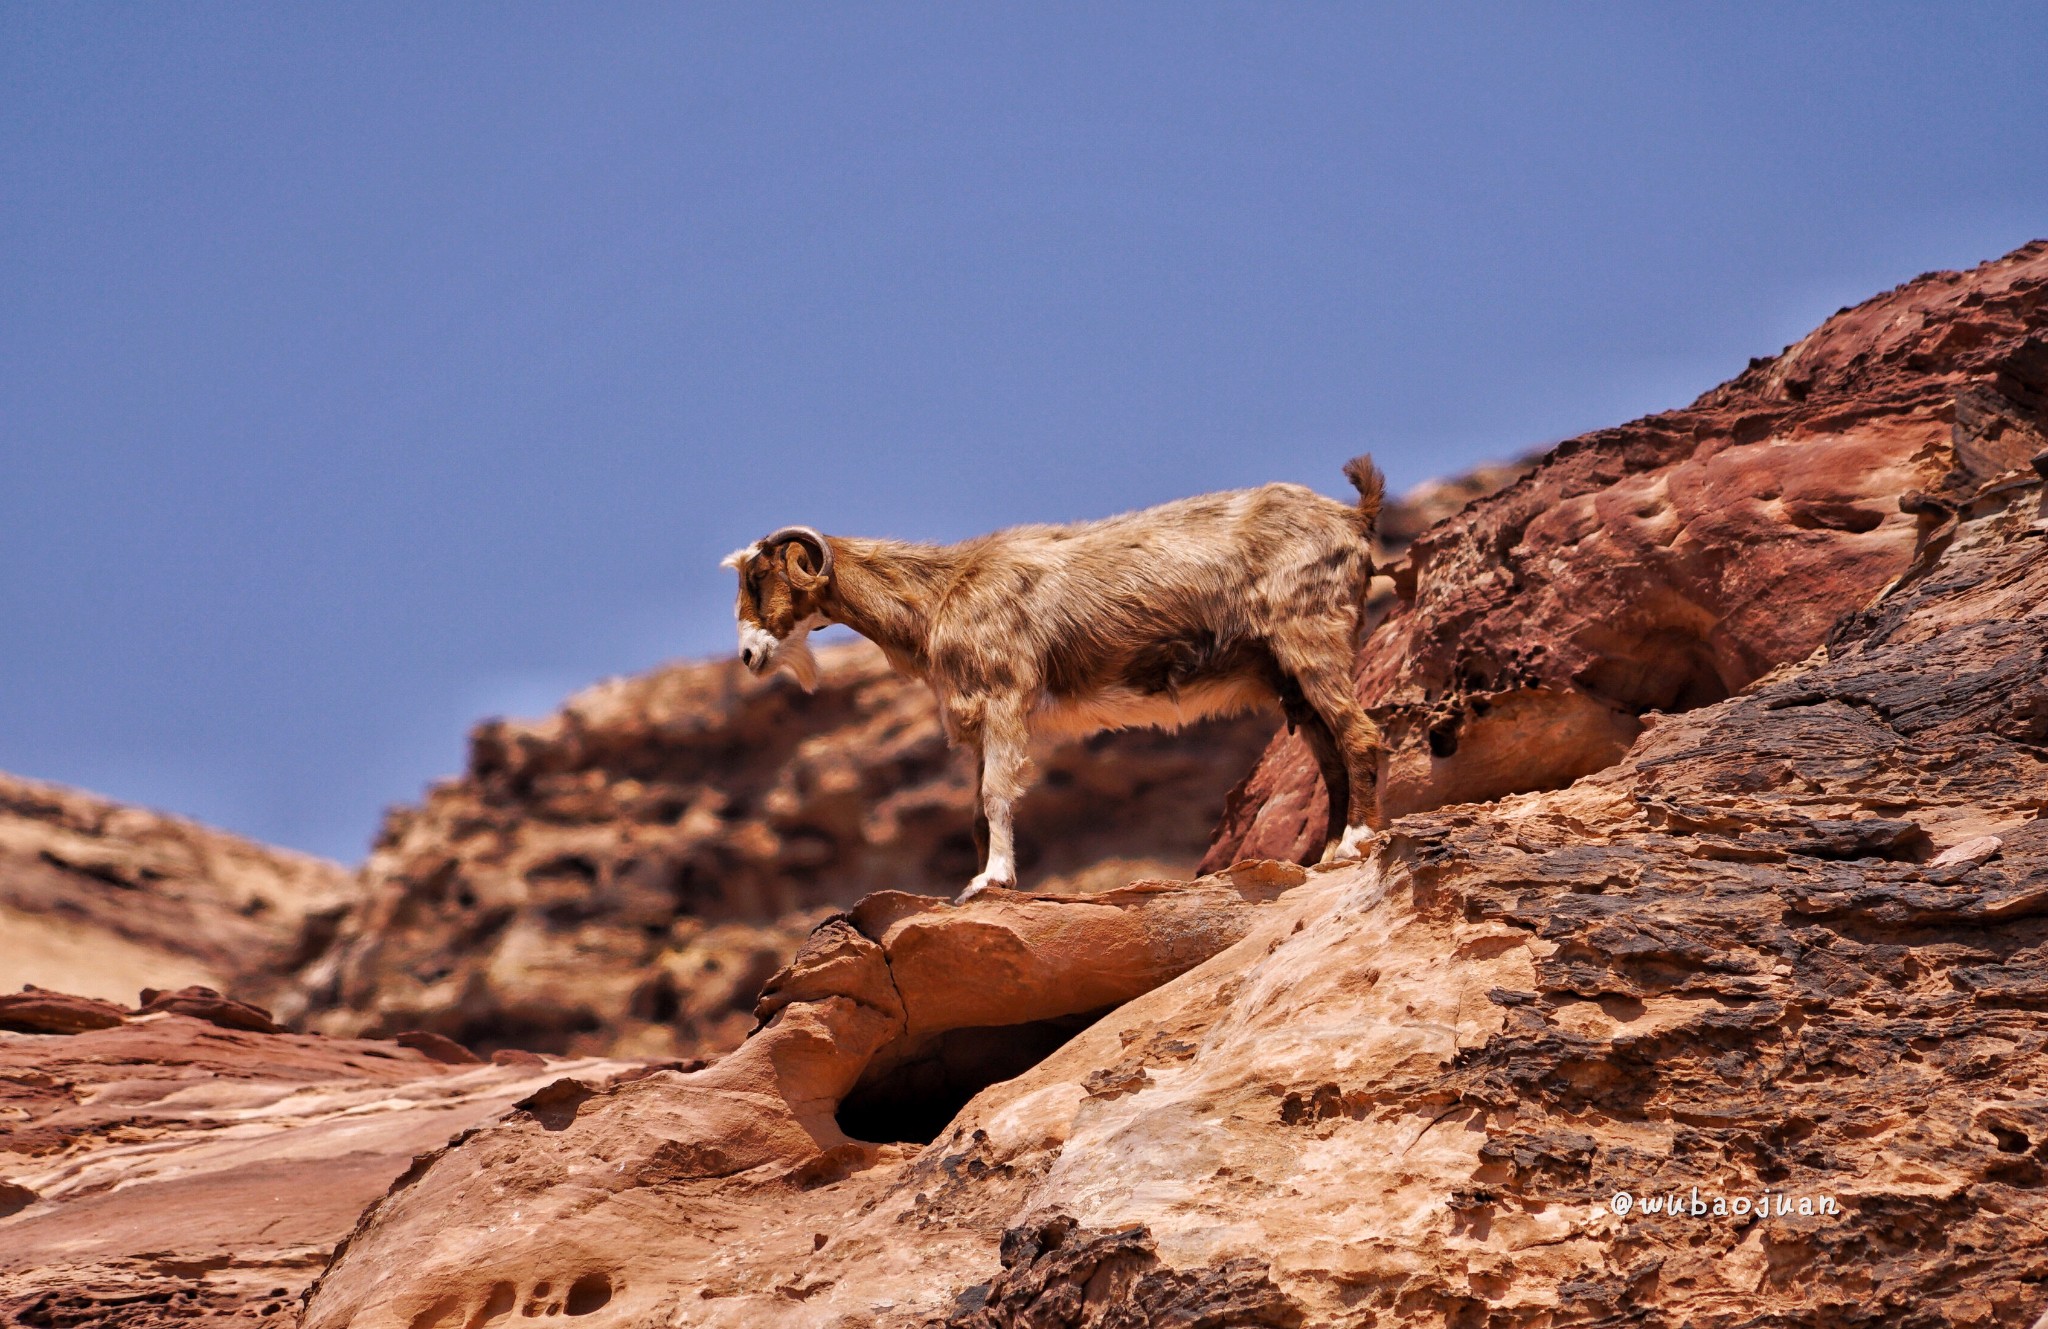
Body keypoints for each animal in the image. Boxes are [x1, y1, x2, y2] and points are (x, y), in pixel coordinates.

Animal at [724, 456, 1392, 901]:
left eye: (759, 576)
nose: (749, 655)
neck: (942, 592)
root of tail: (1353, 517)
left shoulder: (1004, 698)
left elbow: (996, 794)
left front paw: (992, 880)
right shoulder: (975, 717)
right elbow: (975, 809)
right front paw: (979, 882)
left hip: (1311, 640)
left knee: (1359, 736)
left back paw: (1355, 841)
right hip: (1289, 677)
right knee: (1331, 754)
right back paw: (1329, 851)